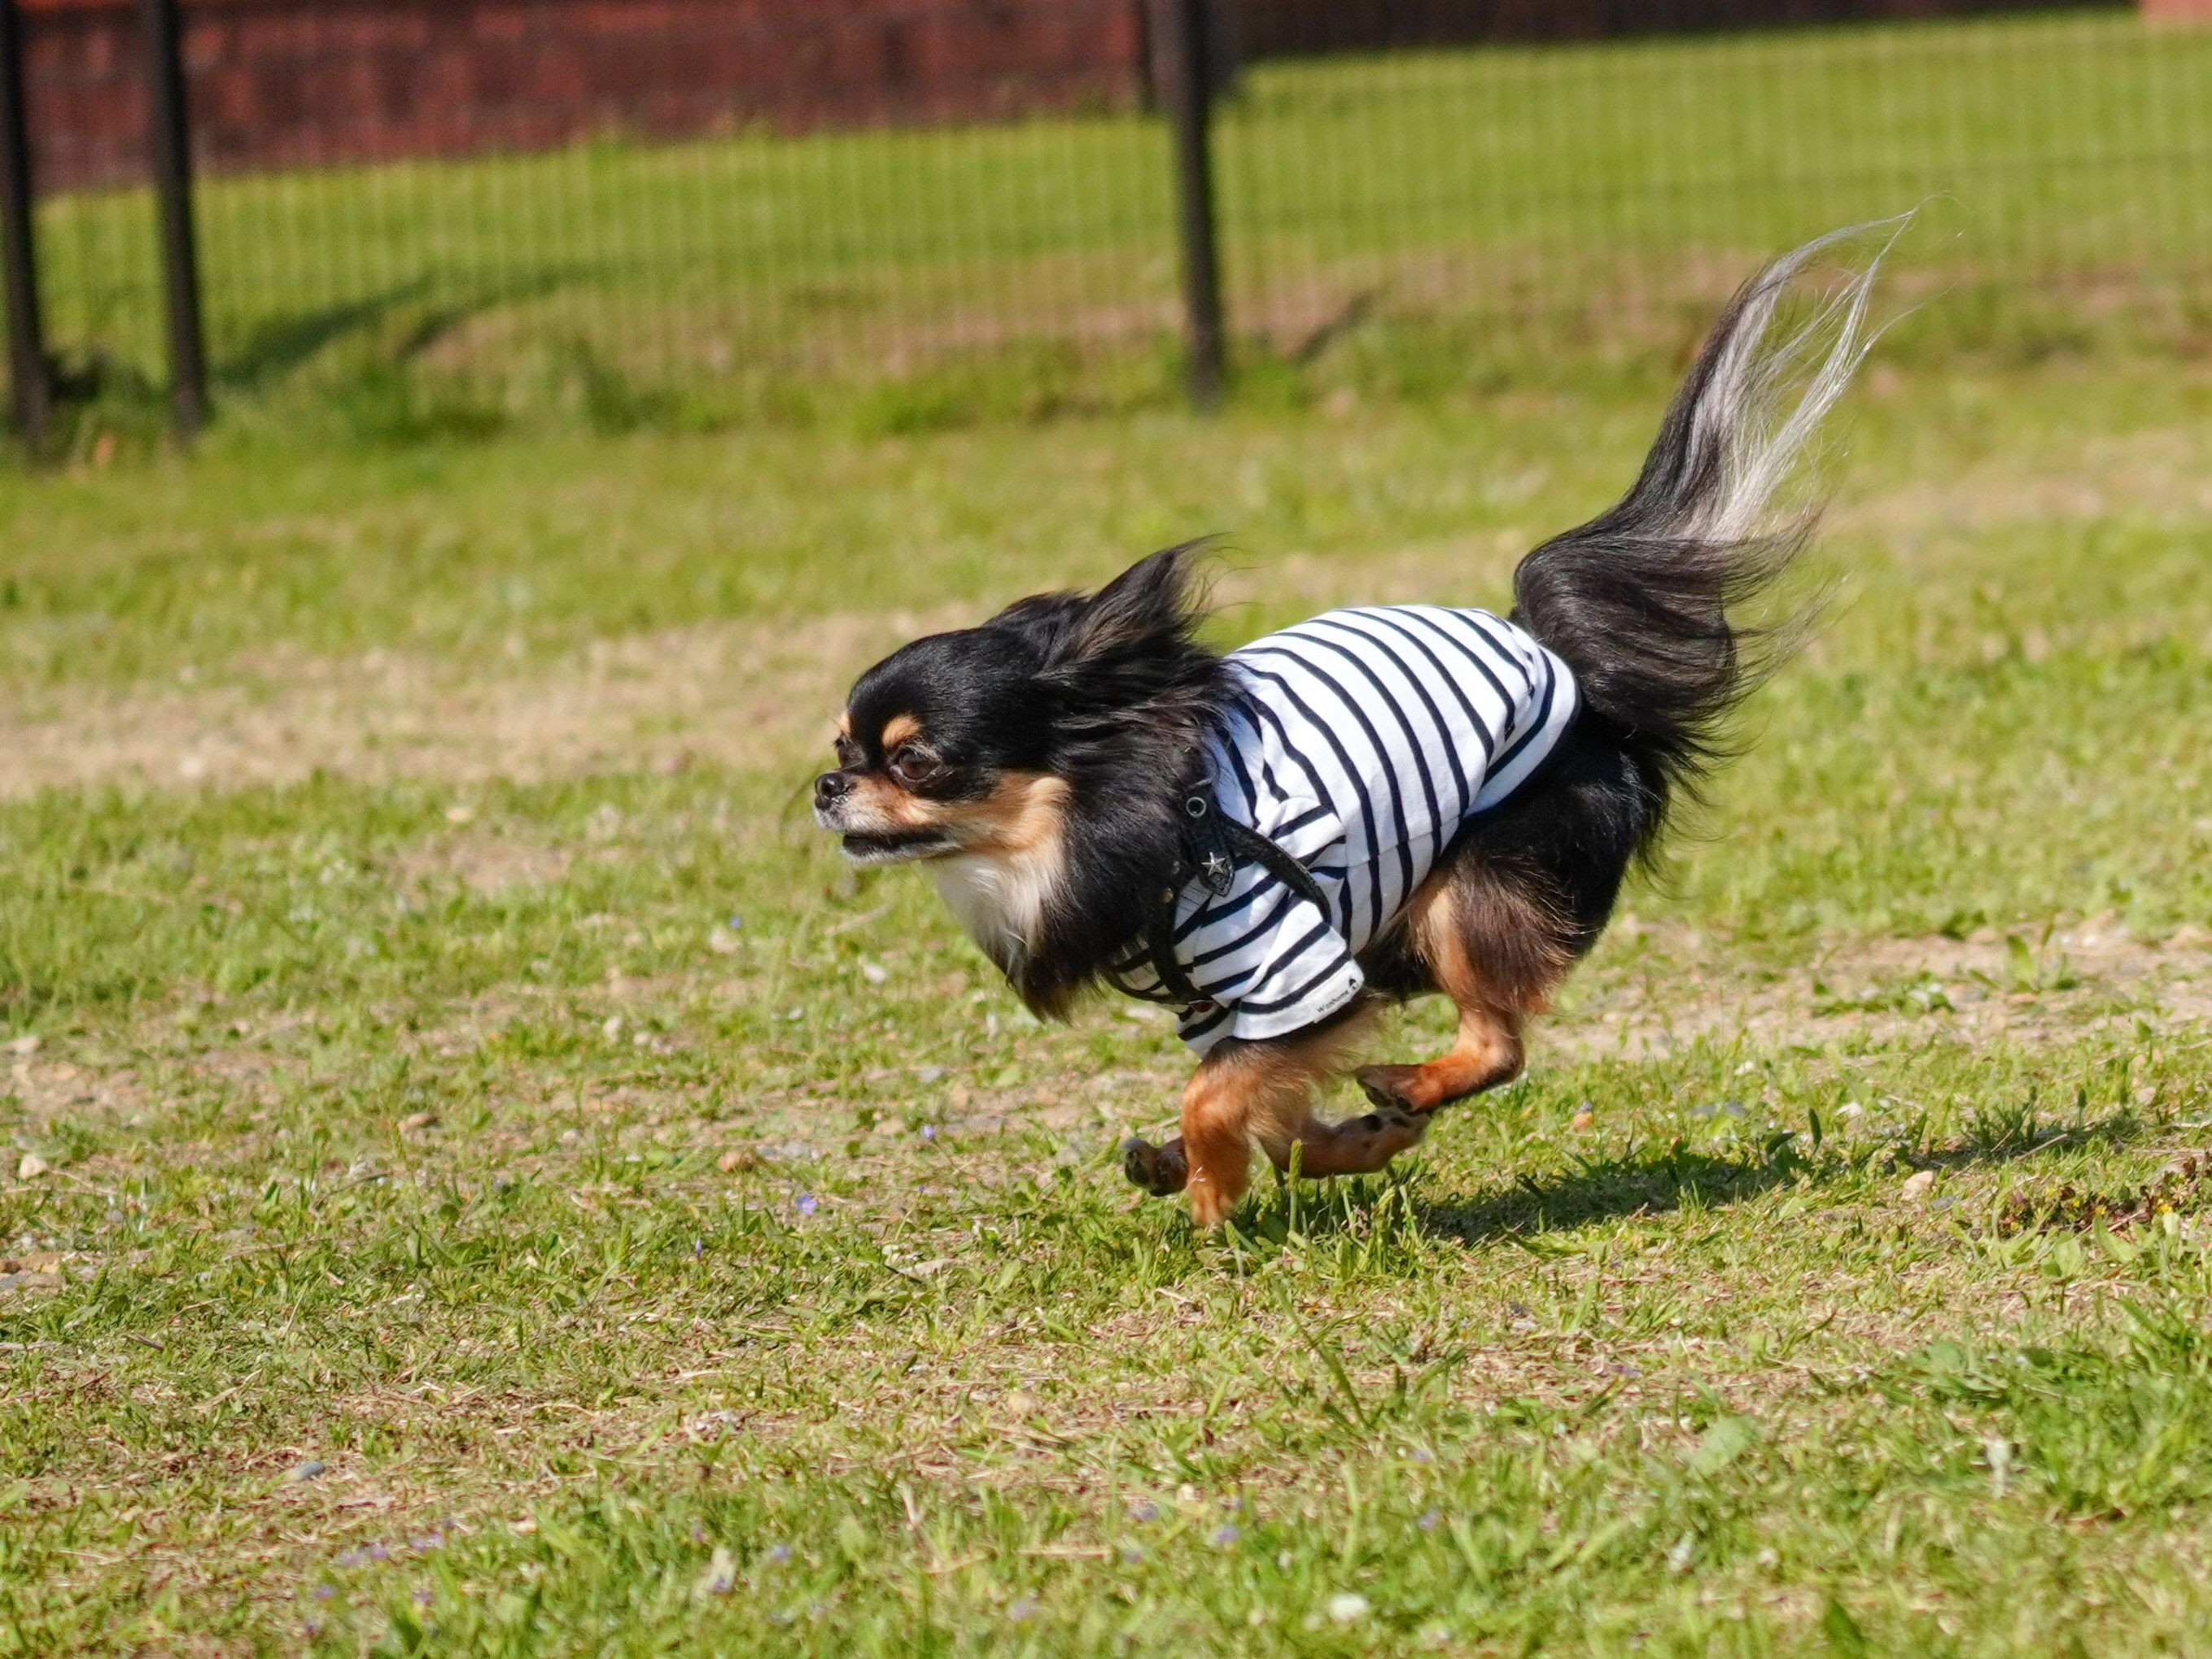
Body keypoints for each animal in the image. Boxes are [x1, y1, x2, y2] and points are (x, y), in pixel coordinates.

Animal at [815, 229, 1885, 1227]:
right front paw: (1316, 1151)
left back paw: (1408, 1083)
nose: (827, 786)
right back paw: (1379, 1112)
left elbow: (1217, 1092)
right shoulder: (1237, 994)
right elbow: (1269, 1105)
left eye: (916, 760)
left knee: (1501, 1043)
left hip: (1478, 881)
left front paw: (1210, 1188)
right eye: (839, 746)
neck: (1118, 810)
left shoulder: (1290, 962)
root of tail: (1571, 667)